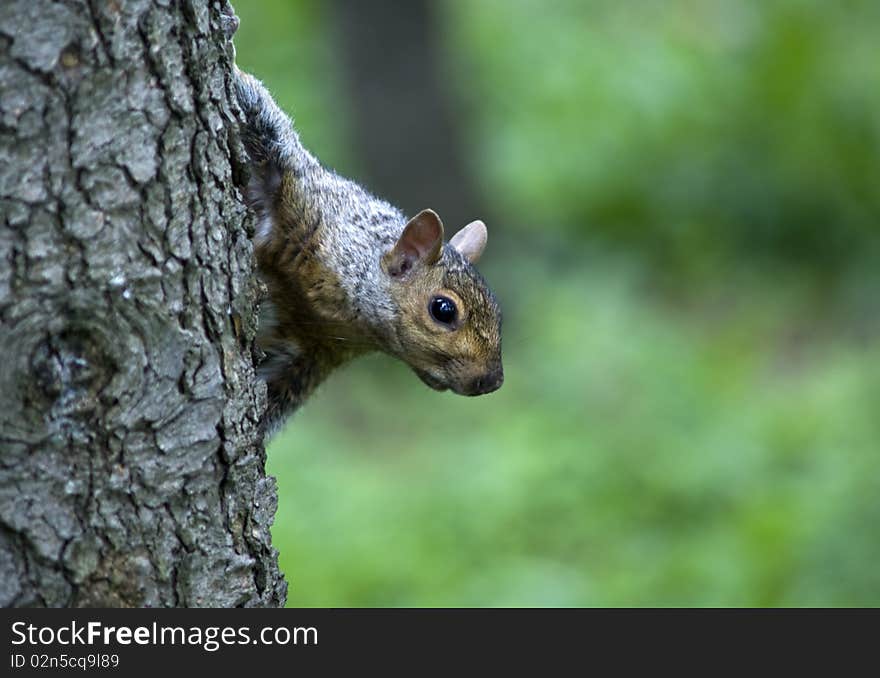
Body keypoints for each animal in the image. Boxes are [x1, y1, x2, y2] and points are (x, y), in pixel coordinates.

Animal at [232, 70, 502, 436]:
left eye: (497, 311)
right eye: (443, 310)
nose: (491, 381)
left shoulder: (309, 356)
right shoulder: (302, 198)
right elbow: (264, 122)